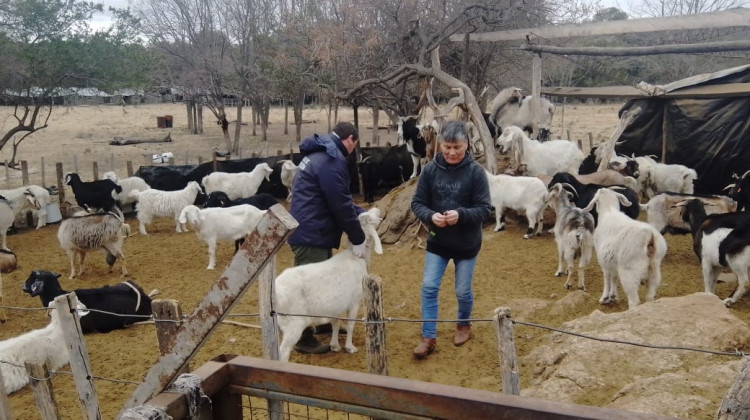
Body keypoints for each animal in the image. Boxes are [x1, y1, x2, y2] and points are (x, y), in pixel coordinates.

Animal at [274, 208, 384, 362]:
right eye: (371, 220)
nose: (378, 210)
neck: (355, 257)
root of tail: (276, 290)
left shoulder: (336, 306)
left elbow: (335, 324)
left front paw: (334, 345)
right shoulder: (354, 302)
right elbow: (350, 325)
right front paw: (350, 347)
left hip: (280, 321)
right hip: (294, 322)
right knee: (283, 351)